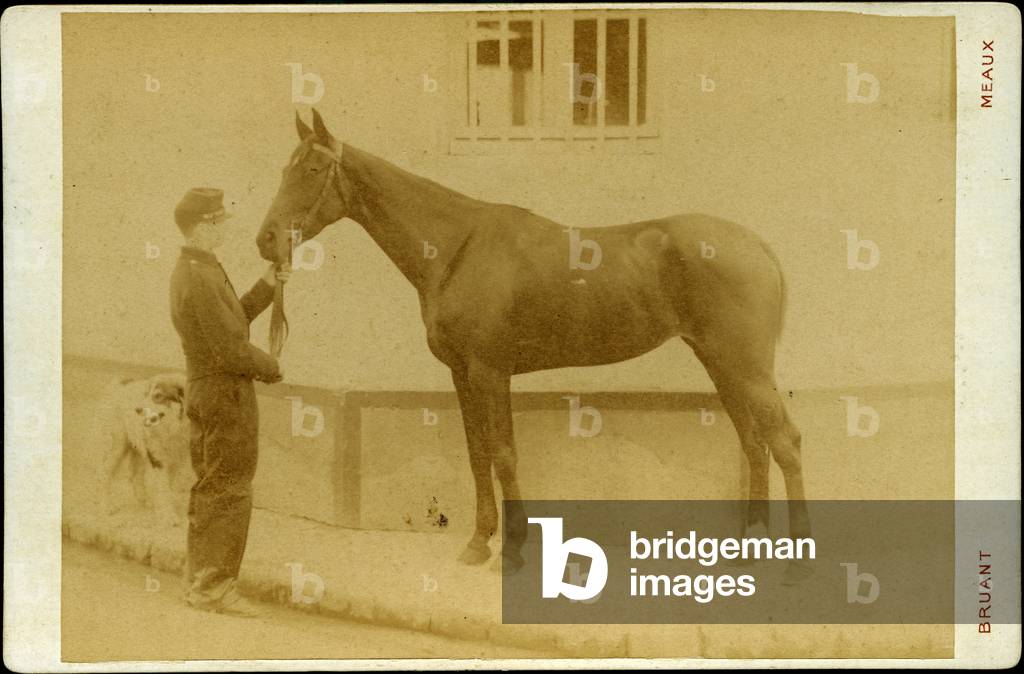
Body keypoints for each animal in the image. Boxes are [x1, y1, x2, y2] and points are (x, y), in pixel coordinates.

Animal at [257, 109, 810, 580]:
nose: (266, 240)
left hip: (747, 367)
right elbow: (477, 453)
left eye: (311, 169)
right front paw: (478, 543)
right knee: (754, 443)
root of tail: (758, 246)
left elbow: (503, 454)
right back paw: (748, 552)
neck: (456, 247)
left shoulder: (489, 369)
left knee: (785, 443)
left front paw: (513, 552)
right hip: (721, 363)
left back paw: (795, 565)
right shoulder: (461, 373)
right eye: (283, 169)